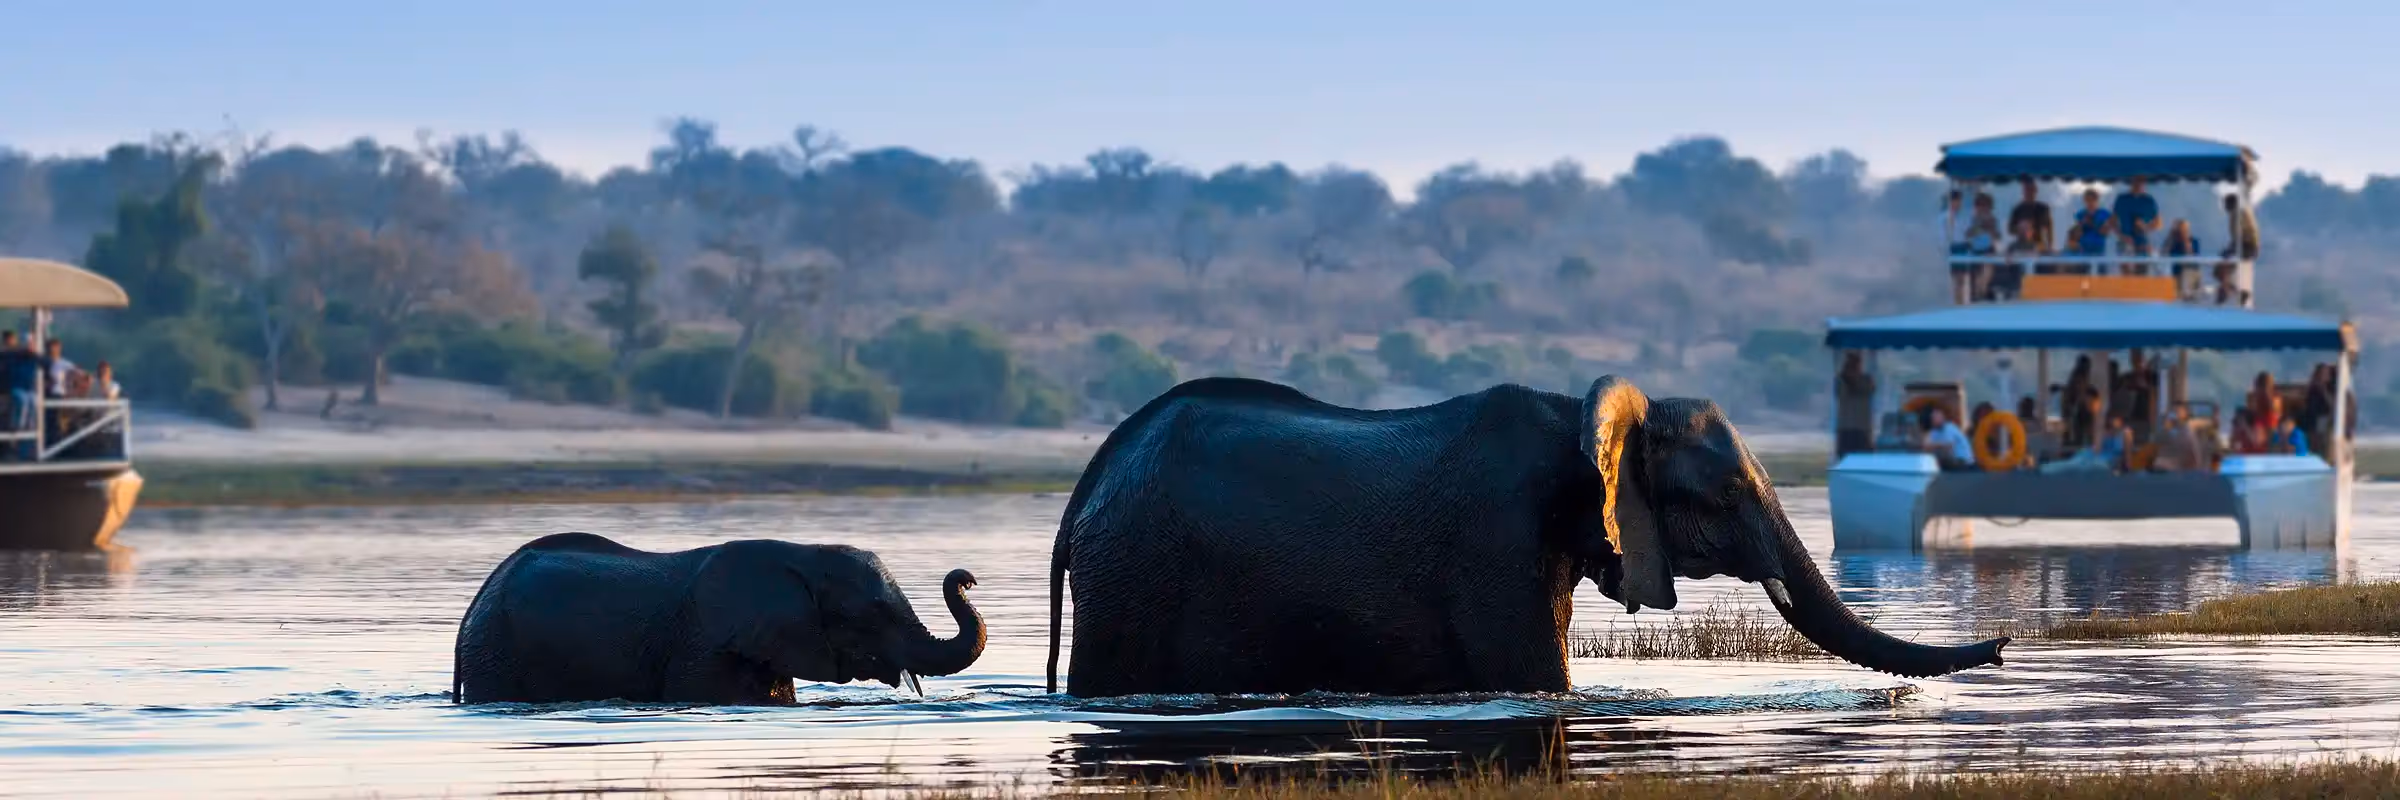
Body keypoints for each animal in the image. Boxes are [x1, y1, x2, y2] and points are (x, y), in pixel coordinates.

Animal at [1043, 376, 2007, 698]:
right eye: (1731, 491)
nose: (2003, 644)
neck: (1580, 416)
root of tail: (1091, 480)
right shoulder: (1494, 540)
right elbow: (1540, 681)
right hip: (1136, 571)